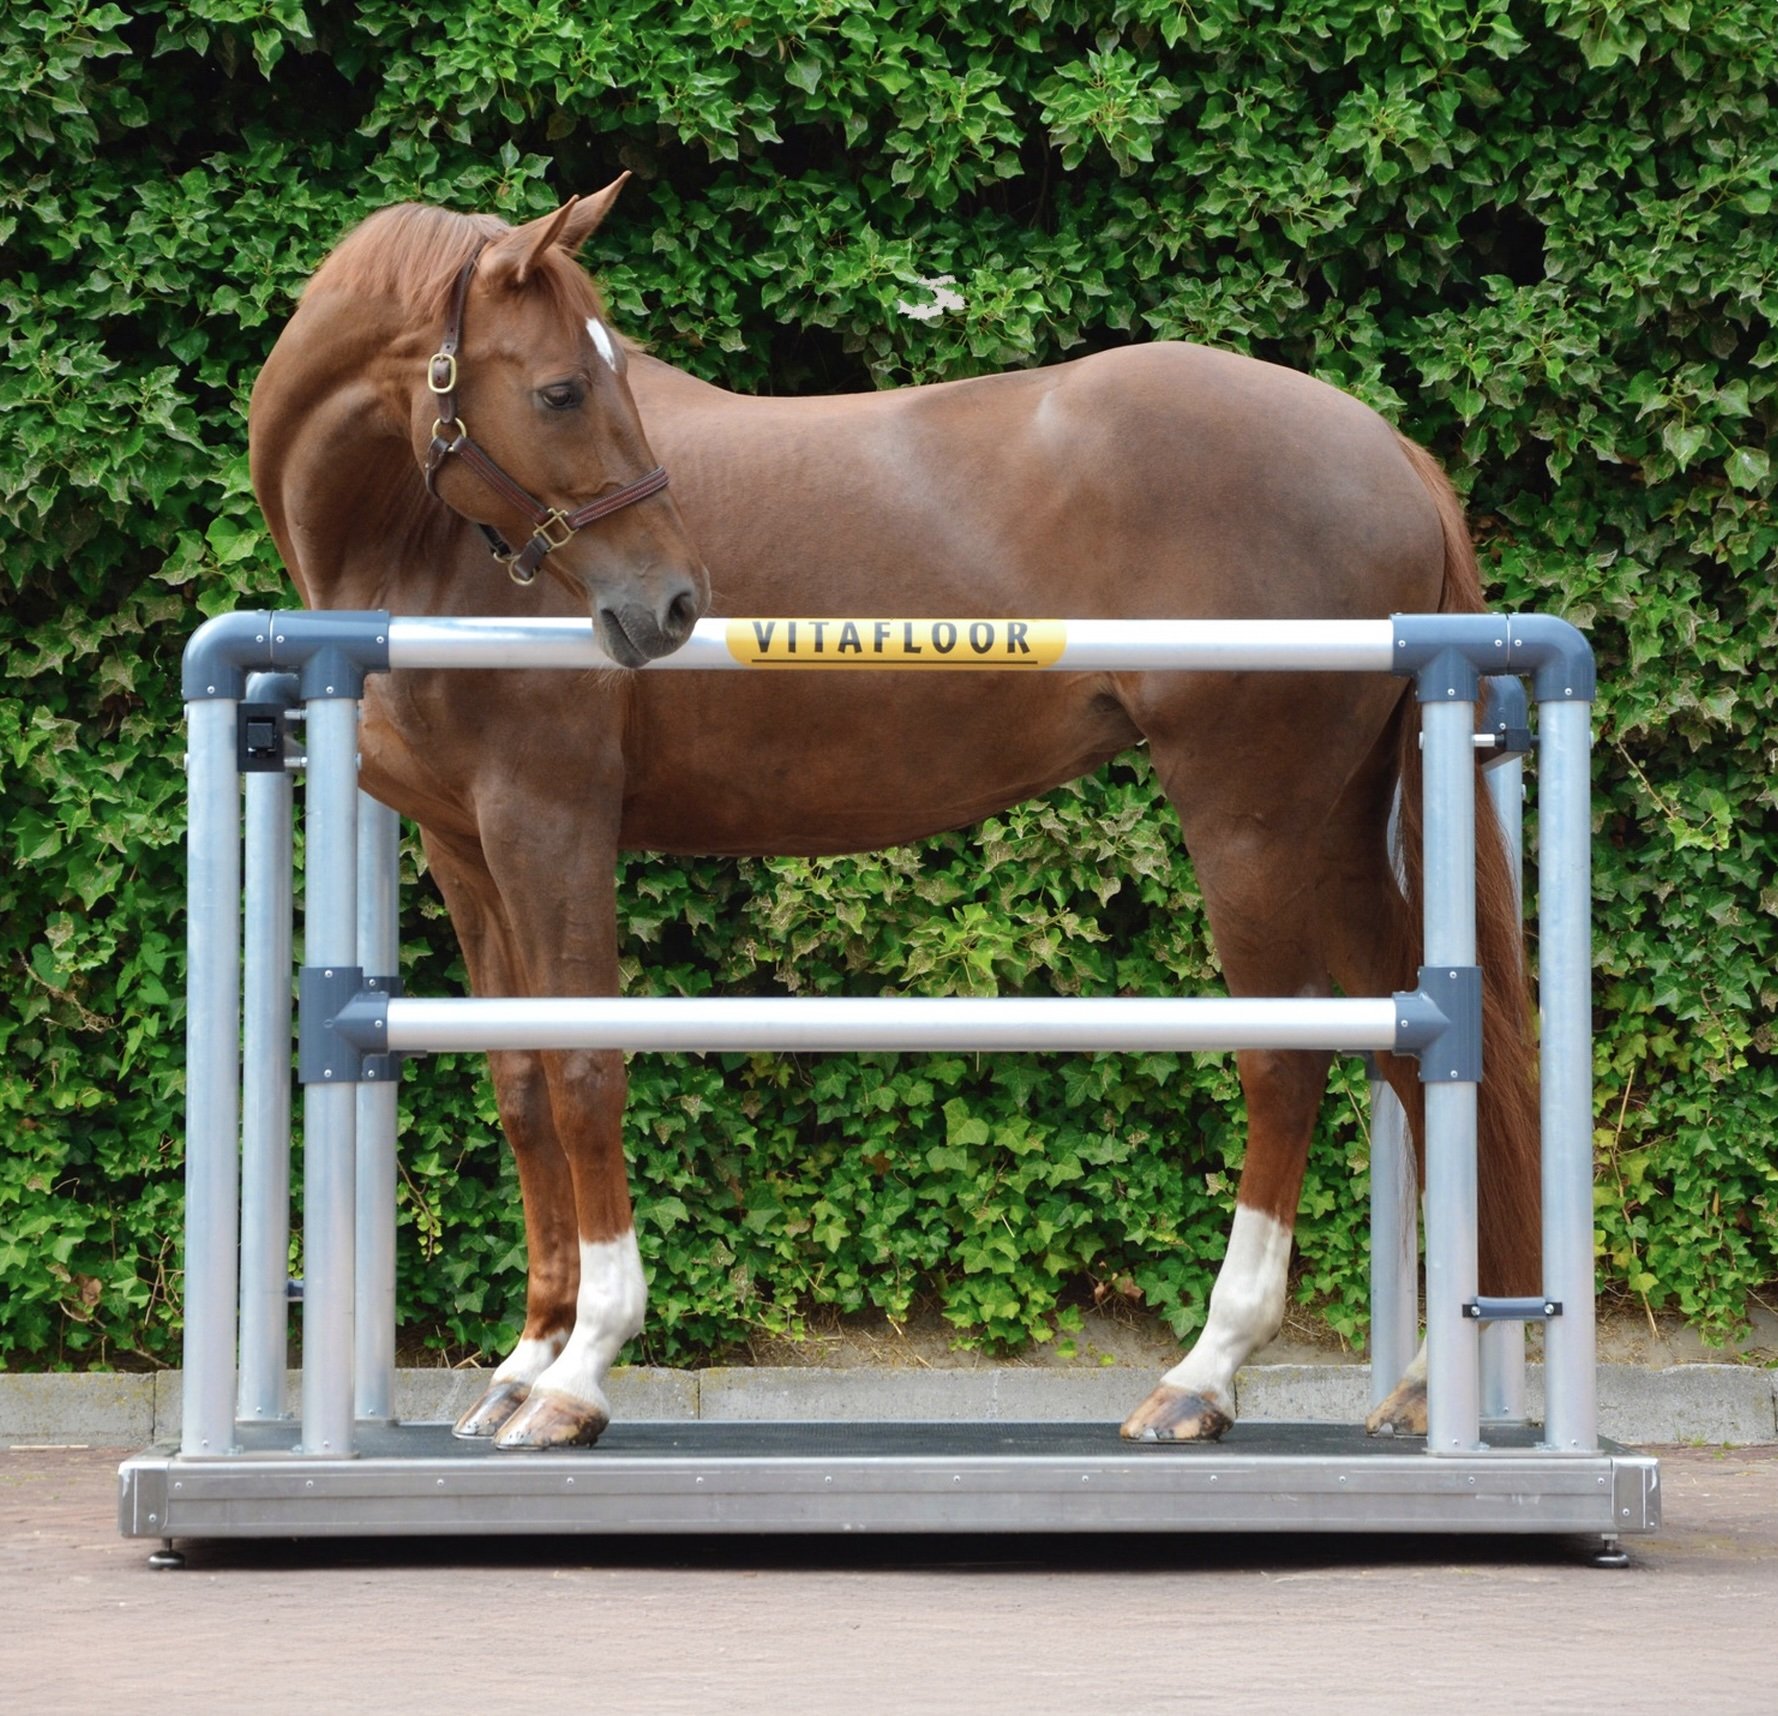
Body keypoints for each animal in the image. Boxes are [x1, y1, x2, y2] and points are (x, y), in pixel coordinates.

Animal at [248, 180, 1540, 1450]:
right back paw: (1420, 1386)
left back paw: (1203, 1374)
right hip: (1335, 833)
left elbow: (584, 1072)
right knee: (1417, 1049)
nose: (670, 604)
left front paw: (581, 1372)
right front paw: (523, 1365)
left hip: (1247, 820)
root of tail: (1384, 446)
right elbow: (520, 1081)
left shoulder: (547, 823)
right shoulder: (466, 847)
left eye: (595, 381)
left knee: (1288, 1059)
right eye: (563, 387)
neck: (419, 547)